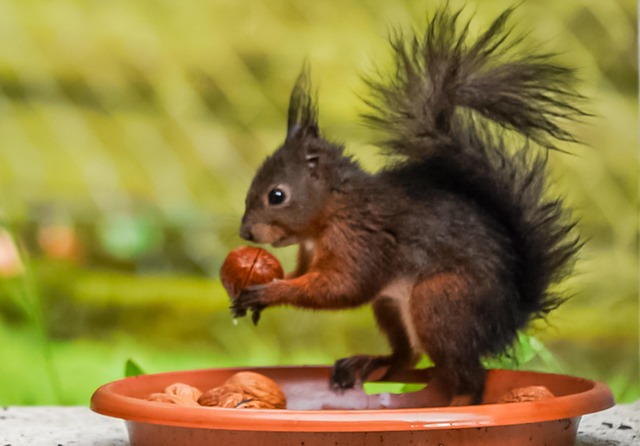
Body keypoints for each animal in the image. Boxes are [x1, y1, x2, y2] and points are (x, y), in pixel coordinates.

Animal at [231, 6, 584, 405]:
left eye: (276, 195)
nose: (245, 232)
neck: (331, 211)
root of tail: (509, 318)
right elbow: (306, 276)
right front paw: (253, 294)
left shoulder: (362, 240)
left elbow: (342, 287)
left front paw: (270, 292)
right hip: (391, 306)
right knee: (408, 358)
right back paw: (371, 363)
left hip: (441, 302)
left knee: (468, 374)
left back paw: (458, 402)